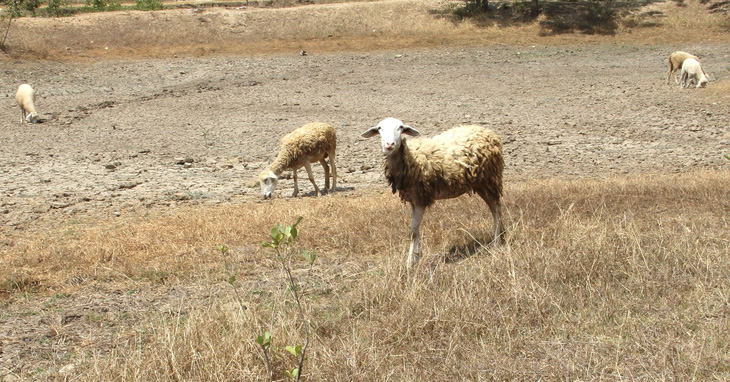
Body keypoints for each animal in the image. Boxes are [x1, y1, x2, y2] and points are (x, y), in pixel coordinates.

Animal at [362, 118, 504, 270]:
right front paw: (416, 258)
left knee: (496, 210)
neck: (410, 159)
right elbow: (416, 231)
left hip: (489, 179)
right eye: (379, 128)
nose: (389, 144)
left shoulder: (421, 199)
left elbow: (413, 232)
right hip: (481, 183)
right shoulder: (413, 200)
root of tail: (489, 132)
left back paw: (497, 242)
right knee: (494, 209)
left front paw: (409, 263)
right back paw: (499, 237)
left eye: (400, 127)